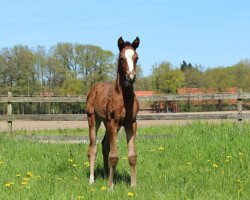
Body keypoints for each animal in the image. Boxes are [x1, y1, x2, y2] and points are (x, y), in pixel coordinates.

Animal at [86, 36, 141, 188]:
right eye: (121, 58)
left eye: (136, 57)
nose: (131, 77)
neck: (124, 98)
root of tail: (94, 88)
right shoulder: (113, 122)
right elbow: (114, 156)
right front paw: (110, 186)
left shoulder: (131, 123)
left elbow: (132, 156)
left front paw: (133, 185)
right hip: (94, 120)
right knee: (93, 148)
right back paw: (92, 180)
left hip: (107, 123)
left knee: (104, 145)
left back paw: (105, 175)